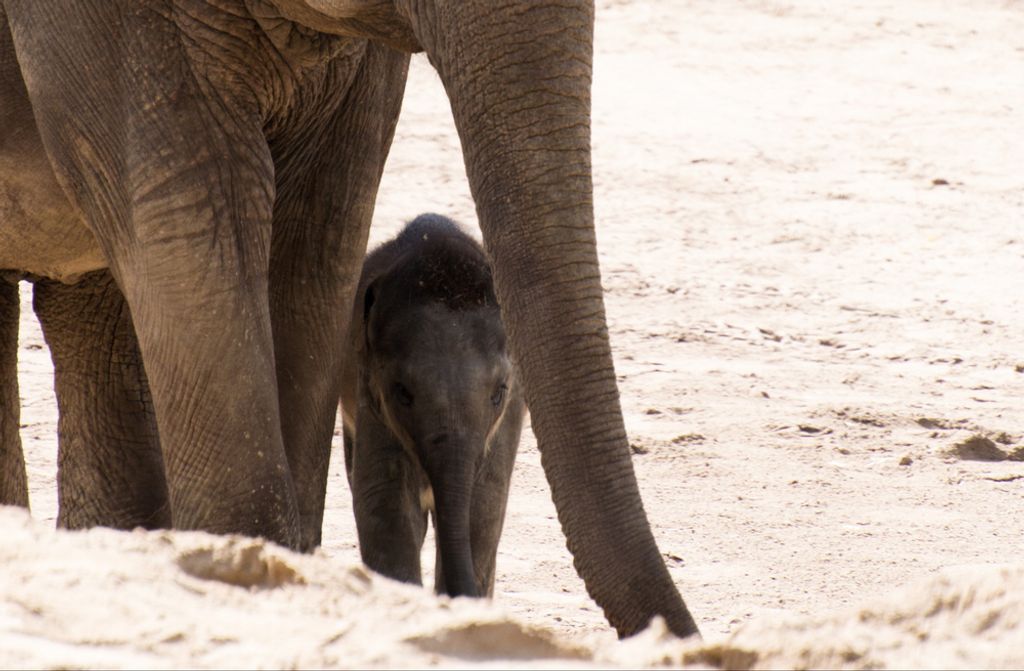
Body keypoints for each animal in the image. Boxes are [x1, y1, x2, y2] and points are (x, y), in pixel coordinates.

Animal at [340, 213, 524, 599]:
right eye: (402, 393)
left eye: (498, 393)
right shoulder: (368, 388)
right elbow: (384, 500)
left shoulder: (512, 409)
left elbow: (485, 503)